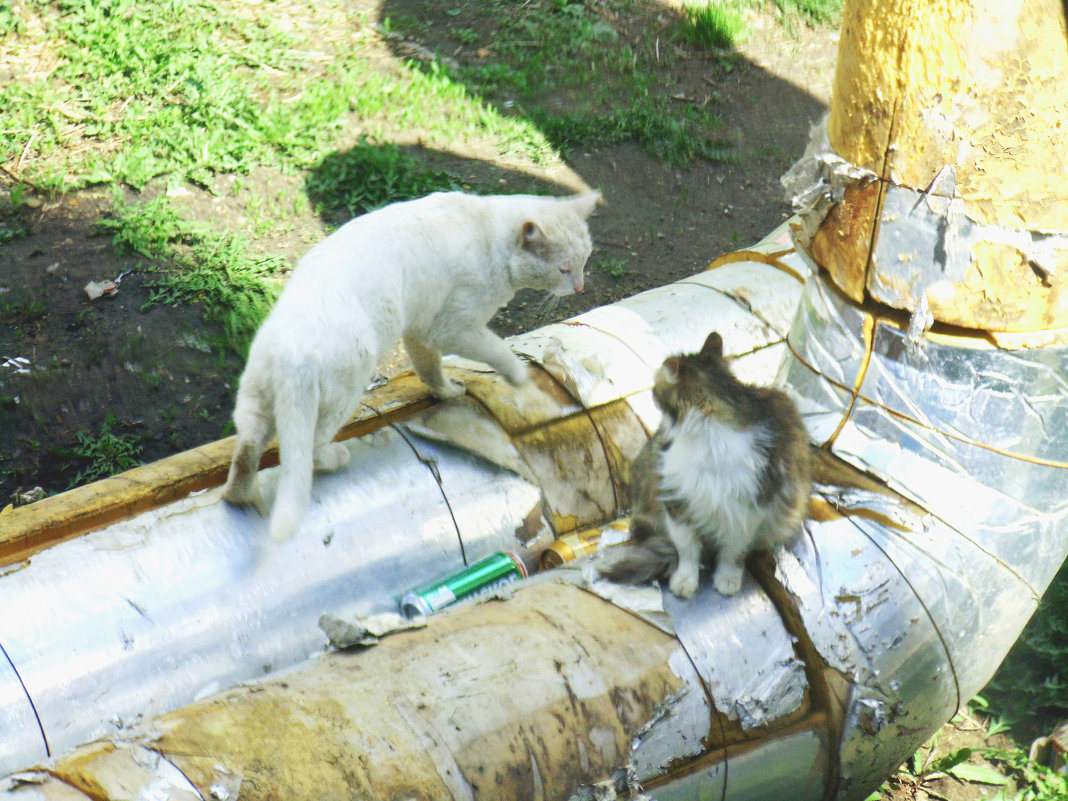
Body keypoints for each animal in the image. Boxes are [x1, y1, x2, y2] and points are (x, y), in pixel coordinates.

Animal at [224, 189, 602, 542]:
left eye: (585, 260)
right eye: (563, 269)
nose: (580, 286)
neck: (490, 236)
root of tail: (291, 353)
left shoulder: (421, 329)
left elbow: (429, 369)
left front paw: (448, 392)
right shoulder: (453, 327)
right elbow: (497, 350)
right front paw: (520, 376)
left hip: (256, 406)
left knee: (247, 453)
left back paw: (239, 497)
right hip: (339, 396)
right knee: (309, 452)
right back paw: (336, 458)